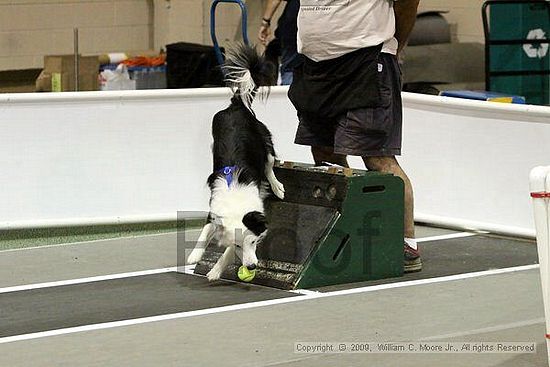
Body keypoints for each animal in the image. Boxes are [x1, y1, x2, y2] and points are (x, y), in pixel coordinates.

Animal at [189, 46, 286, 282]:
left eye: (253, 242)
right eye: (241, 245)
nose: (251, 267)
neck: (235, 197)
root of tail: (237, 106)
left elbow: (226, 252)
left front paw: (215, 270)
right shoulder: (214, 213)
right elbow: (206, 231)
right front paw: (194, 255)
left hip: (264, 138)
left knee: (270, 163)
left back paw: (278, 187)